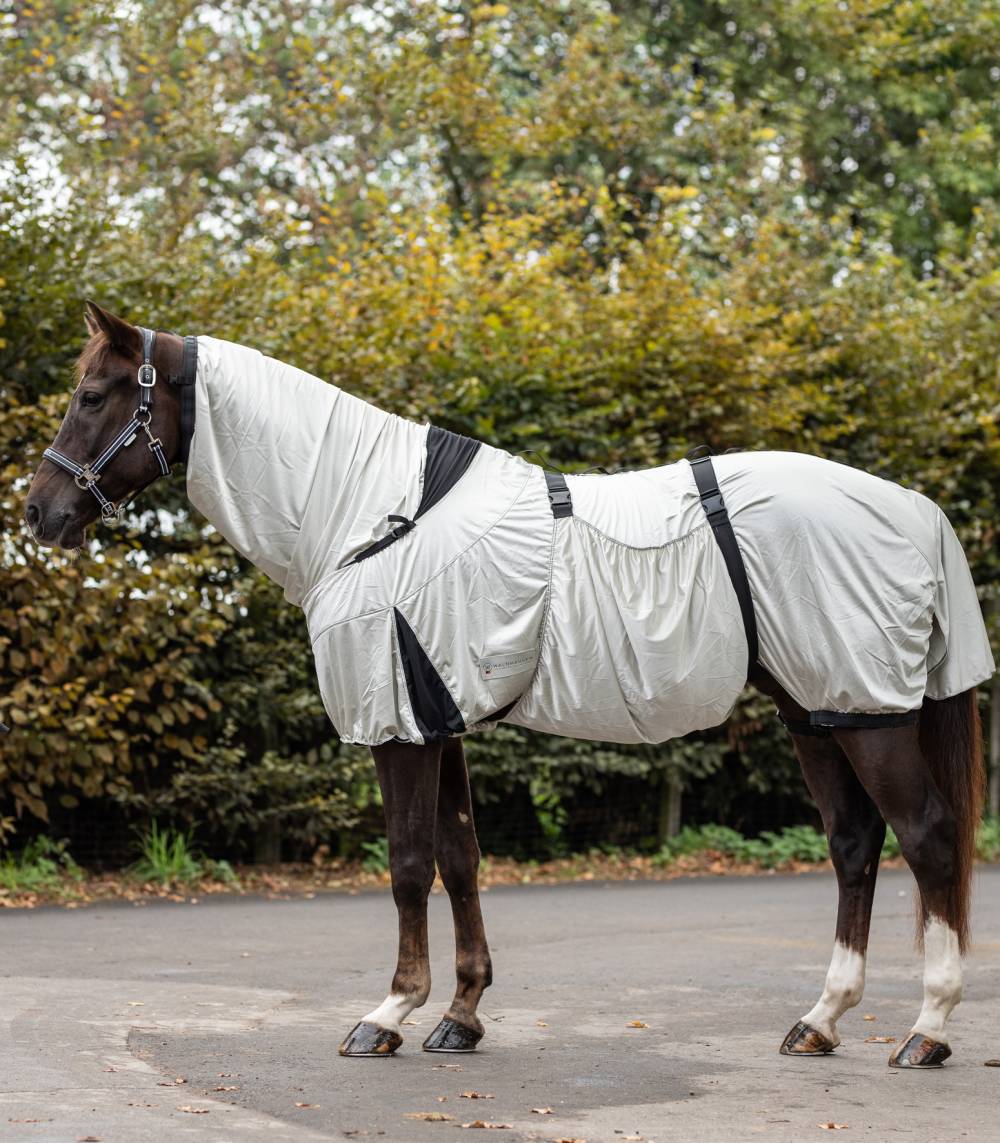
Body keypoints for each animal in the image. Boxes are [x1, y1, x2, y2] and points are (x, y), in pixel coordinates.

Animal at [25, 302, 994, 1069]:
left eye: (92, 395)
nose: (40, 512)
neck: (369, 510)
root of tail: (913, 505)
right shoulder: (436, 717)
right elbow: (460, 859)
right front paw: (459, 1015)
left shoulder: (398, 727)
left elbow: (409, 865)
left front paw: (387, 1013)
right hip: (819, 710)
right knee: (854, 845)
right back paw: (820, 1020)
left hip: (868, 716)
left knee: (929, 838)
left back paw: (928, 1029)